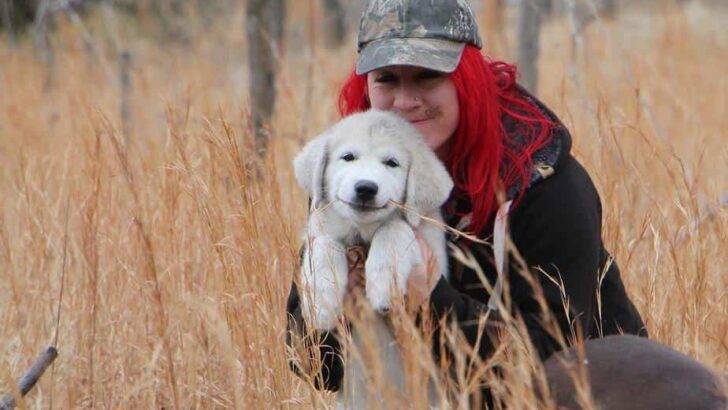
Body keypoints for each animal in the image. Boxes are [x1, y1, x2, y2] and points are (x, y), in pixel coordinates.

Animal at [292, 109, 452, 406]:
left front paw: (383, 285)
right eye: (348, 157)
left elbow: (395, 227)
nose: (366, 188)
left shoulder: (430, 249)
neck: (363, 233)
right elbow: (324, 244)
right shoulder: (318, 229)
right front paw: (322, 301)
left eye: (392, 163)